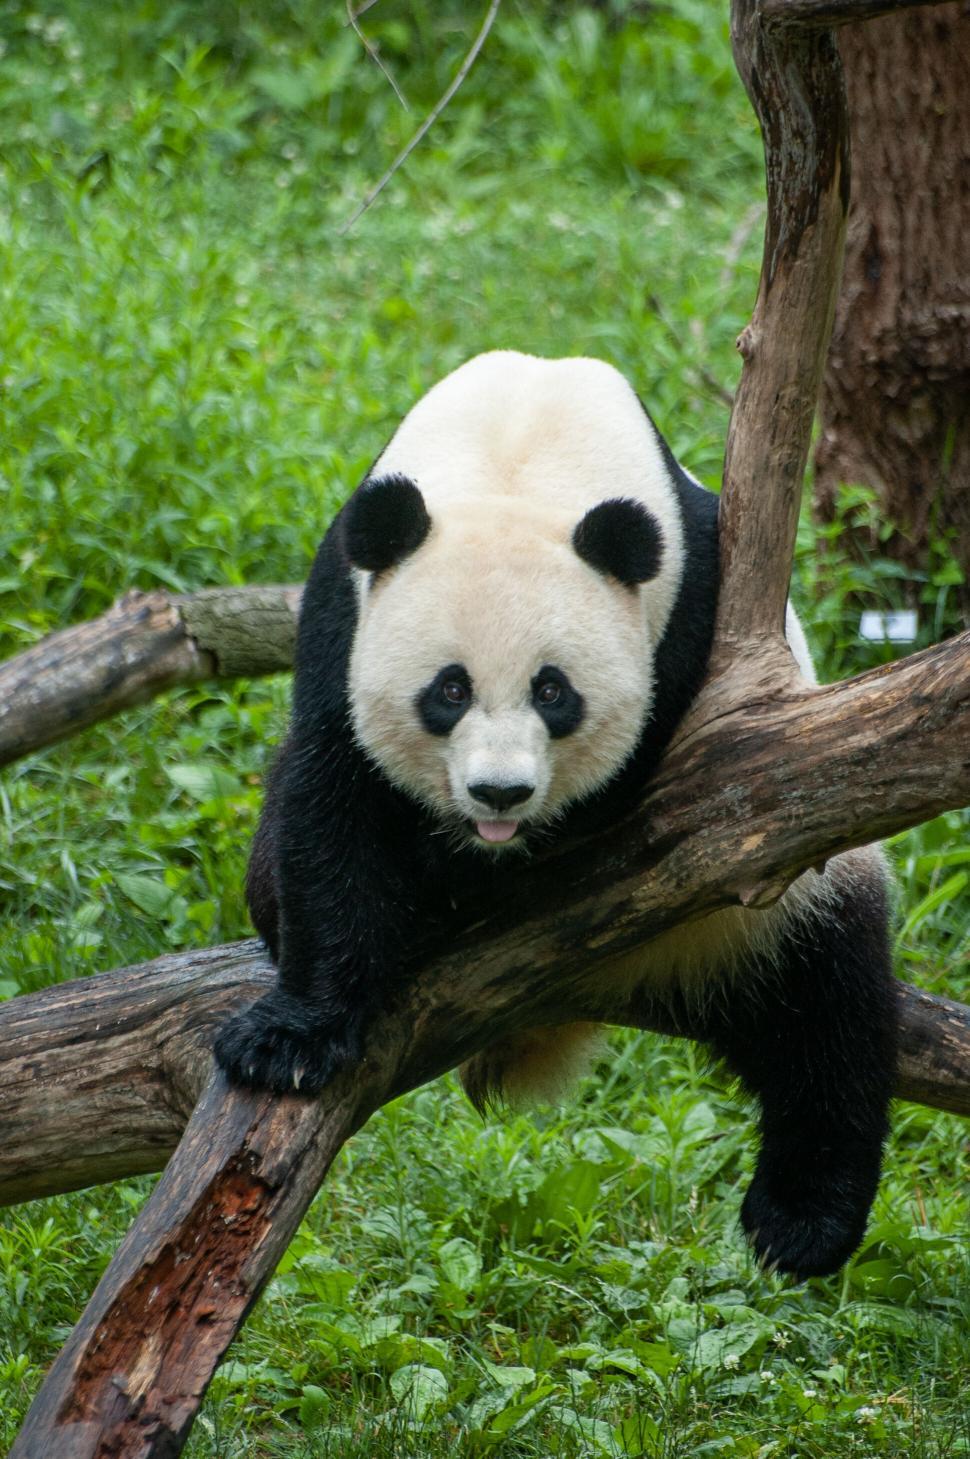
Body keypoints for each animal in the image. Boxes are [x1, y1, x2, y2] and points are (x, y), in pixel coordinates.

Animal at [215, 350, 896, 1280]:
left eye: (553, 691)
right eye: (449, 690)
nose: (499, 794)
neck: (524, 437)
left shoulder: (689, 611)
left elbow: (620, 788)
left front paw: (452, 883)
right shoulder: (340, 606)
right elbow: (332, 794)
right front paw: (288, 1042)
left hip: (779, 898)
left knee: (827, 1015)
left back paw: (801, 1219)